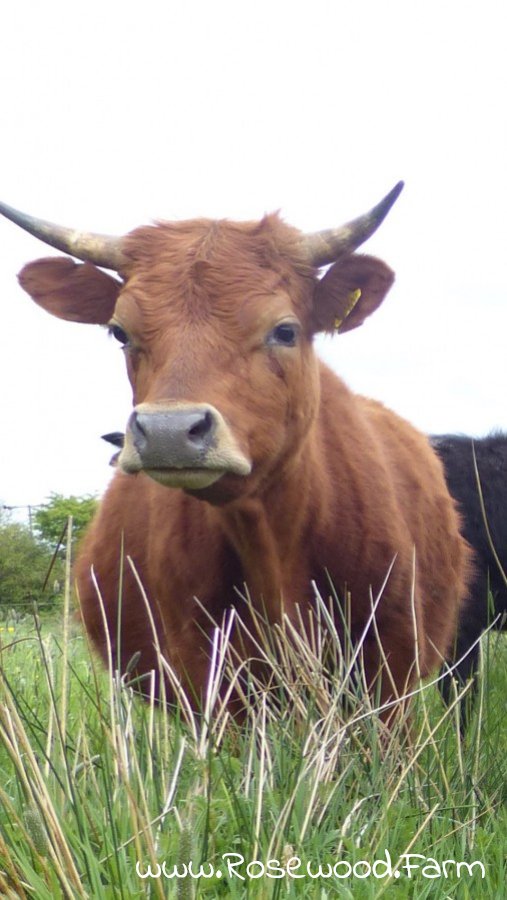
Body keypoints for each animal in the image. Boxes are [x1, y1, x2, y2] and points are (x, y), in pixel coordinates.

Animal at [0, 185, 471, 721]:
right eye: (120, 332)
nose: (167, 430)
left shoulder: (391, 670)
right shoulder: (205, 673)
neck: (271, 542)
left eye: (285, 330)